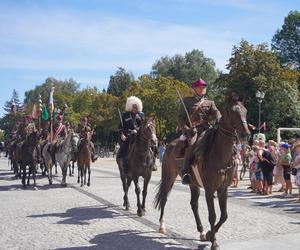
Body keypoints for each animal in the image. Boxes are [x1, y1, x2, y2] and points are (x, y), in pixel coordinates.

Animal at [154, 93, 250, 250]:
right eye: (232, 112)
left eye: (245, 111)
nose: (245, 135)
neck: (219, 153)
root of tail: (169, 145)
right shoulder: (210, 189)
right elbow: (213, 215)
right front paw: (214, 241)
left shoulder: (223, 189)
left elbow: (224, 215)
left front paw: (211, 234)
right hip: (169, 177)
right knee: (164, 198)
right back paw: (162, 226)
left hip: (193, 184)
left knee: (194, 204)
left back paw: (202, 231)